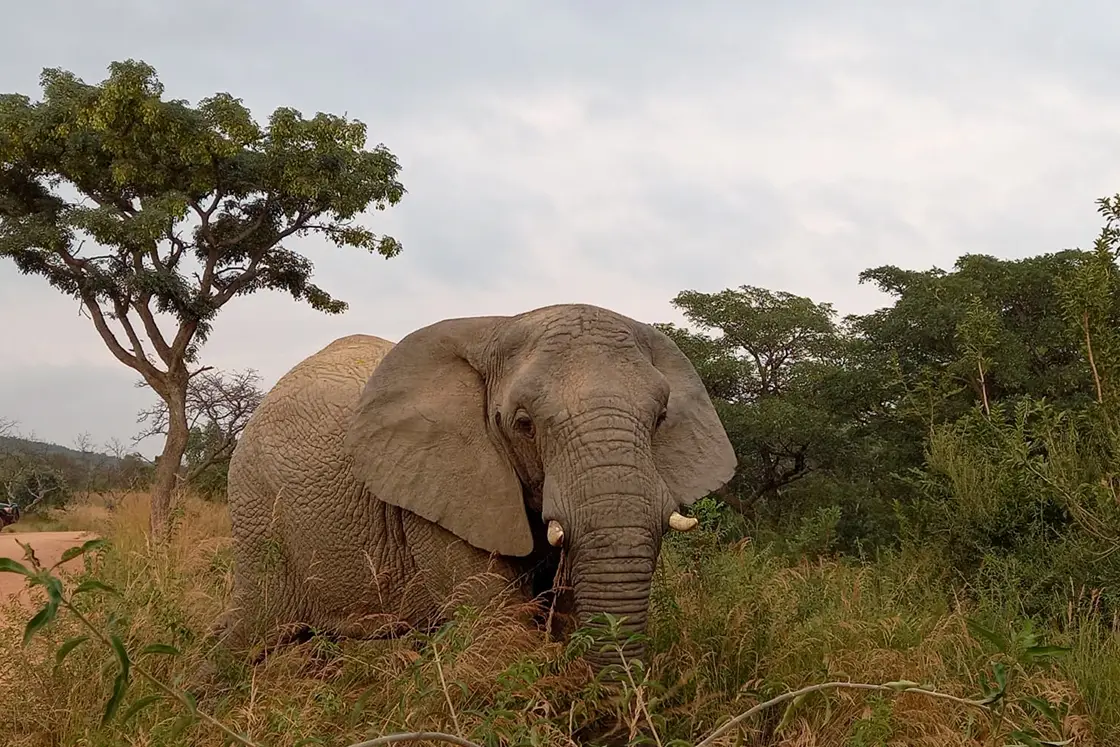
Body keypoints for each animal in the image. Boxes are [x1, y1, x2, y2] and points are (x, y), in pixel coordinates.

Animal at [219, 304, 739, 671]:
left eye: (661, 418)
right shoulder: (437, 485)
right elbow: (499, 624)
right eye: (523, 424)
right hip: (256, 509)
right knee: (254, 635)